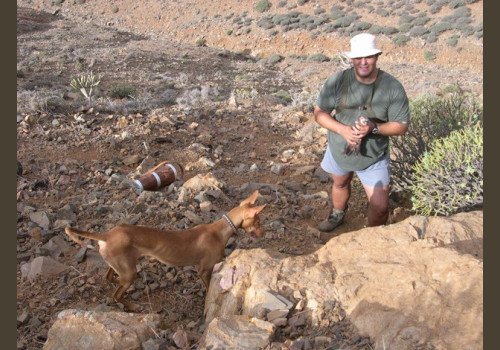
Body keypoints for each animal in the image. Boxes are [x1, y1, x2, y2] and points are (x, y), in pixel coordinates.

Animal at [65, 190, 266, 310]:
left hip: (121, 264)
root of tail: (107, 234)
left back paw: (117, 283)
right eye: (258, 222)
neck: (219, 230)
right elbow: (209, 288)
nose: (263, 233)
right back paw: (132, 306)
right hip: (129, 271)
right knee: (115, 296)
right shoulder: (204, 270)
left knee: (110, 277)